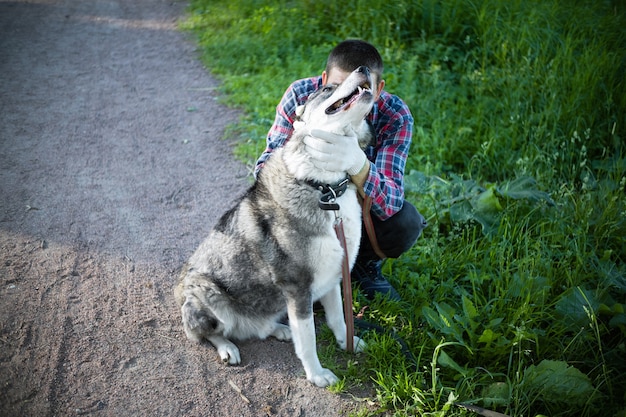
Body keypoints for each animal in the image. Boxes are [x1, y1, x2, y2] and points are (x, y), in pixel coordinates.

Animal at [173, 66, 372, 386]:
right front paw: (317, 375)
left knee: (260, 328)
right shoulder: (298, 287)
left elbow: (338, 318)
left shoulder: (333, 273)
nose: (363, 69)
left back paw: (279, 329)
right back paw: (227, 347)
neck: (325, 188)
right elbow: (309, 339)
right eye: (328, 89)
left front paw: (347, 343)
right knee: (206, 334)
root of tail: (179, 291)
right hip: (206, 294)